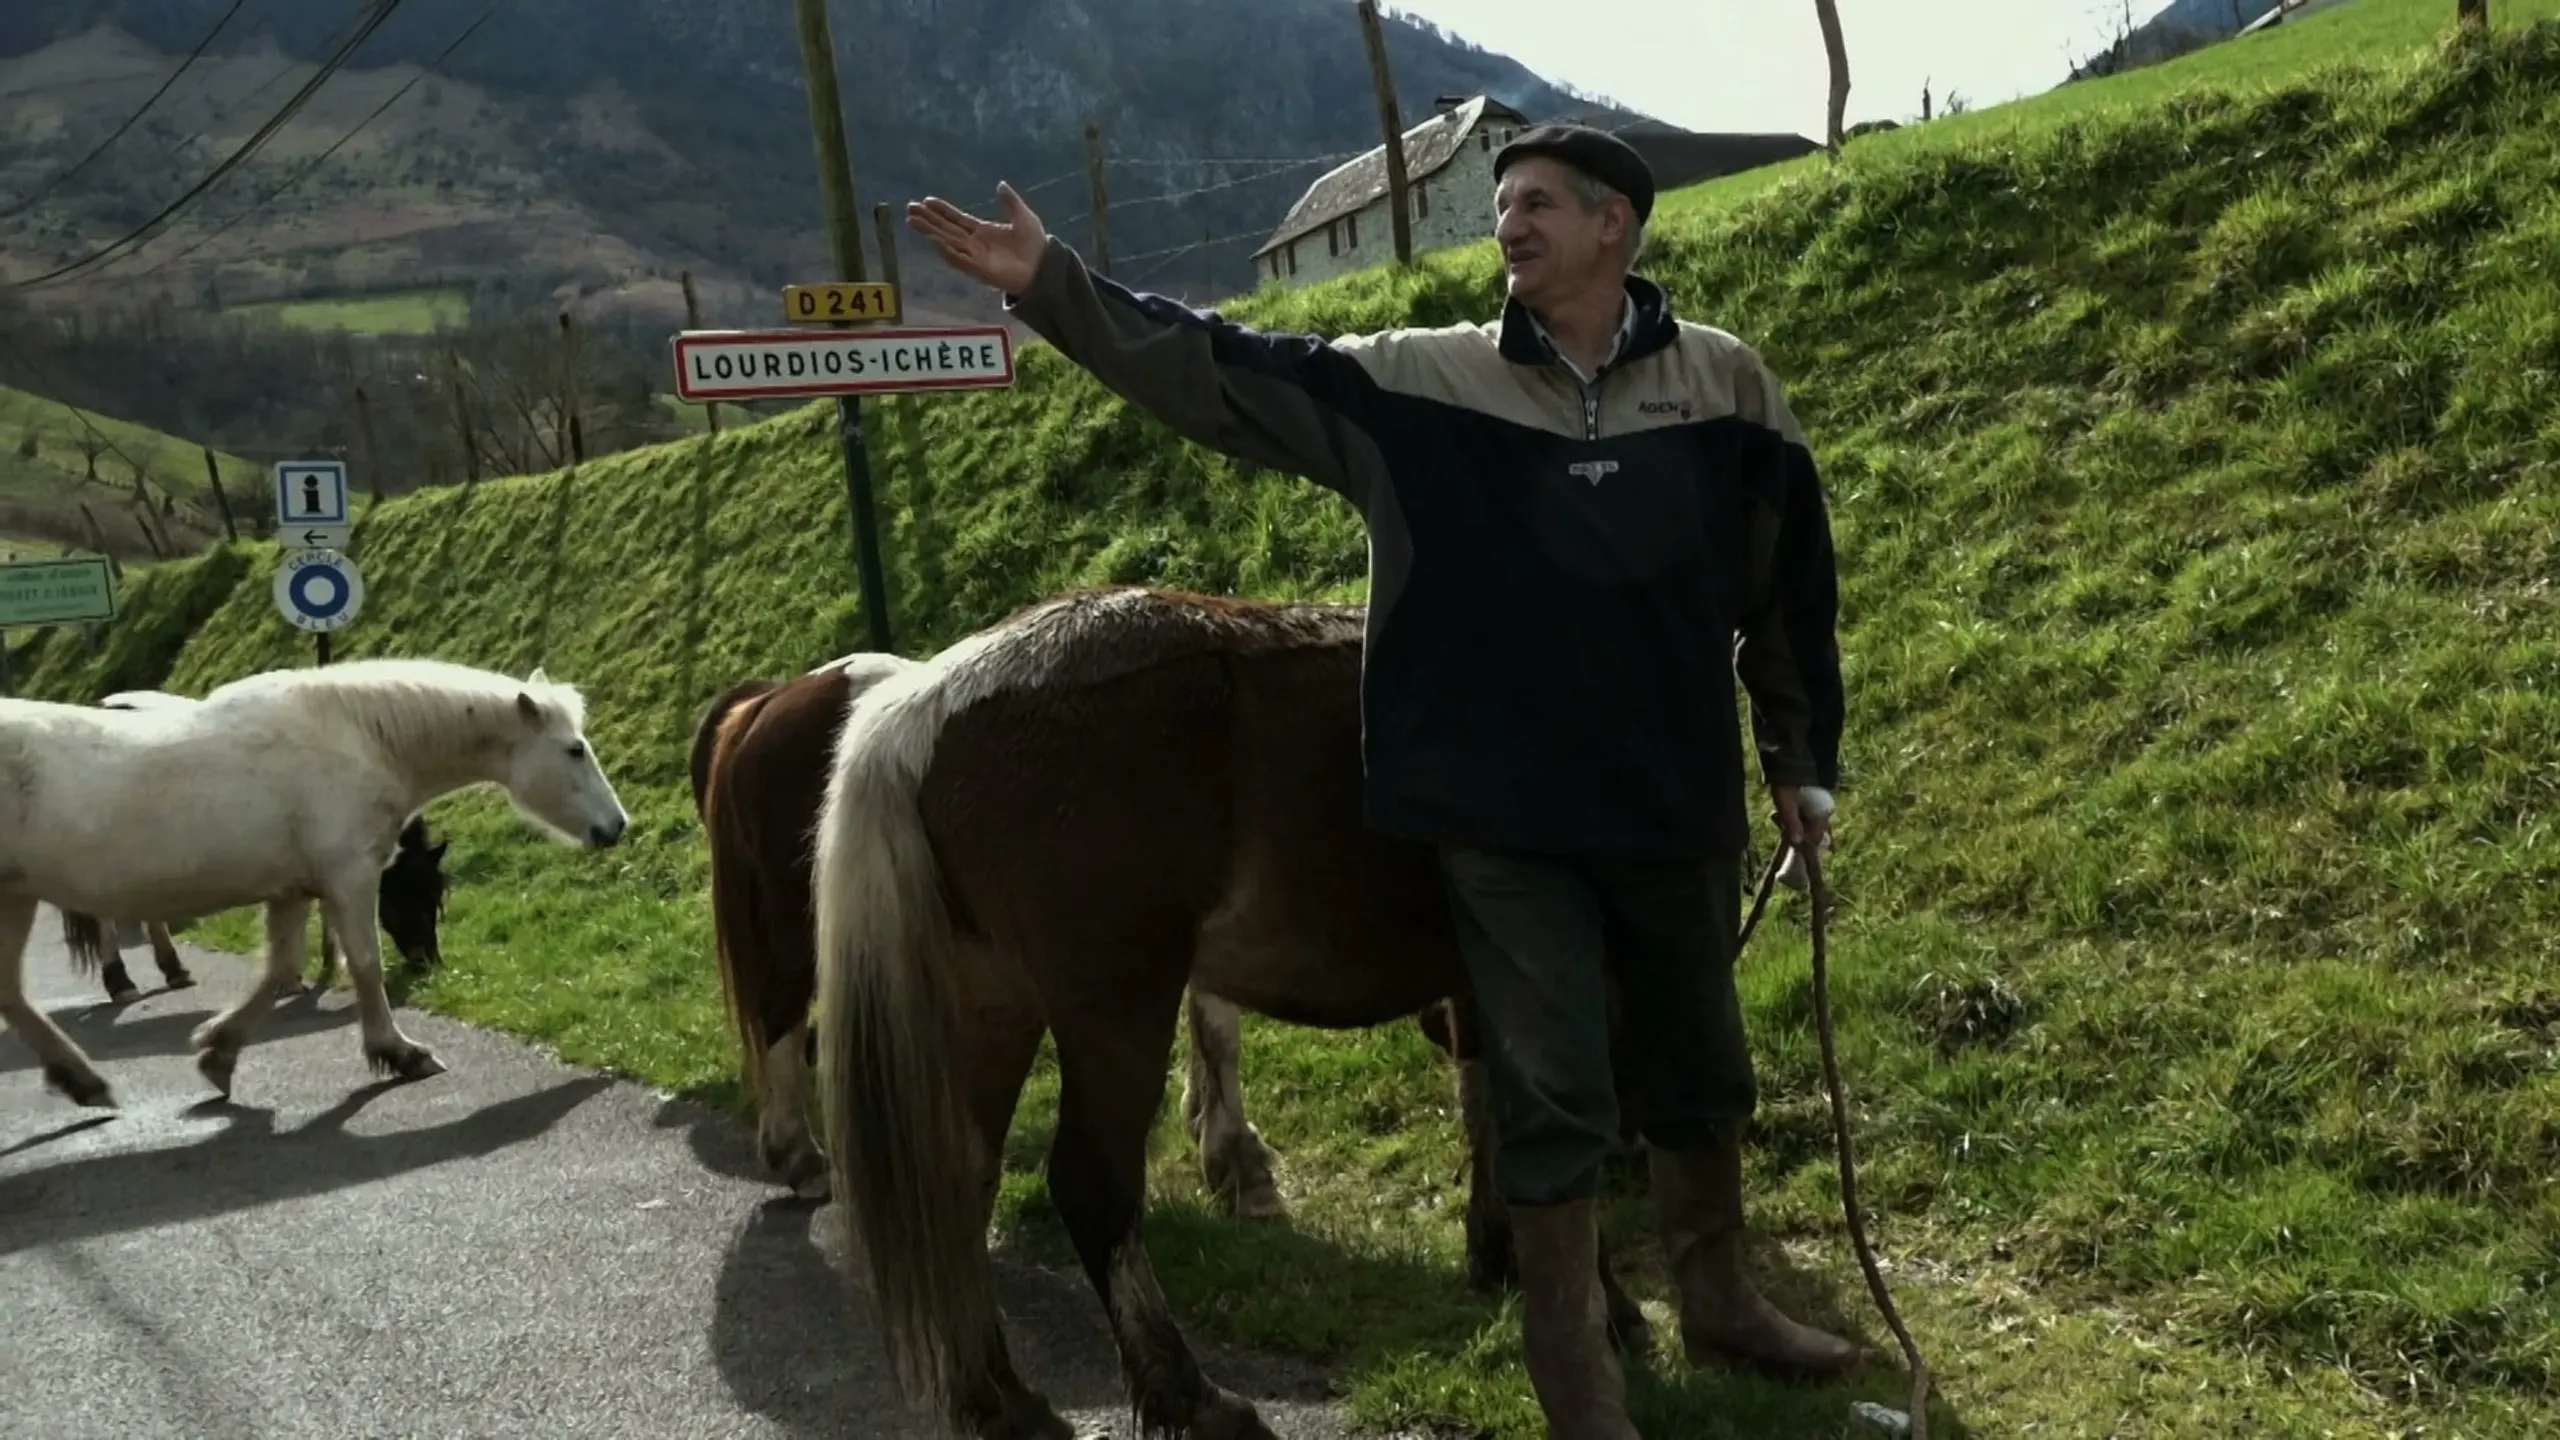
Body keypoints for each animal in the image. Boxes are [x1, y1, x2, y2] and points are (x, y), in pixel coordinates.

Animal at [0, 655, 629, 1101]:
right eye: (574, 750)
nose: (616, 826)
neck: (359, 739)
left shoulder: (294, 889)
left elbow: (280, 971)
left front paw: (219, 1051)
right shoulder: (349, 879)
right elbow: (366, 965)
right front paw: (398, 1052)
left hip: (17, 900)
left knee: (13, 995)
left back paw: (82, 1078)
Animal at [819, 584, 1689, 1434]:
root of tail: (924, 706)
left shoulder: (1480, 985)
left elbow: (1489, 1115)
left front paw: (1499, 1252)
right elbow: (1558, 1137)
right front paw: (1605, 1311)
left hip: (994, 1004)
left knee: (967, 1177)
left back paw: (1002, 1397)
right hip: (1115, 1009)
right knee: (1093, 1185)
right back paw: (1189, 1395)